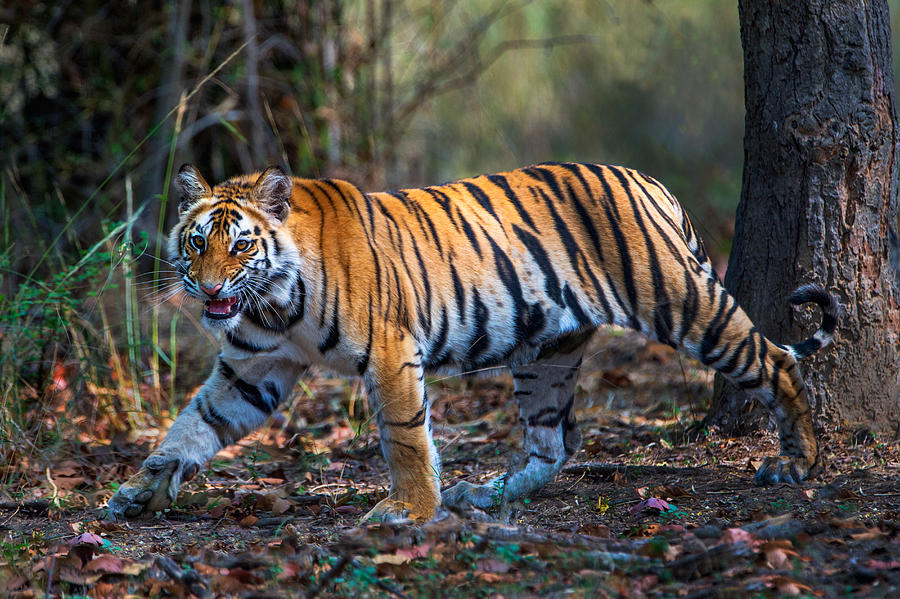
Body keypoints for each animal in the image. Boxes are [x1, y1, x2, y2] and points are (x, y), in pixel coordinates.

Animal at [109, 162, 840, 524]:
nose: (207, 289)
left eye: (240, 244)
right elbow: (191, 426)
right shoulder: (253, 366)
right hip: (547, 352)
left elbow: (405, 436)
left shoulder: (390, 350)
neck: (277, 302)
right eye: (195, 242)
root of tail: (649, 181)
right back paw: (485, 495)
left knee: (774, 361)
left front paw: (408, 510)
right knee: (554, 442)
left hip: (682, 302)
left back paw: (796, 462)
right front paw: (139, 492)